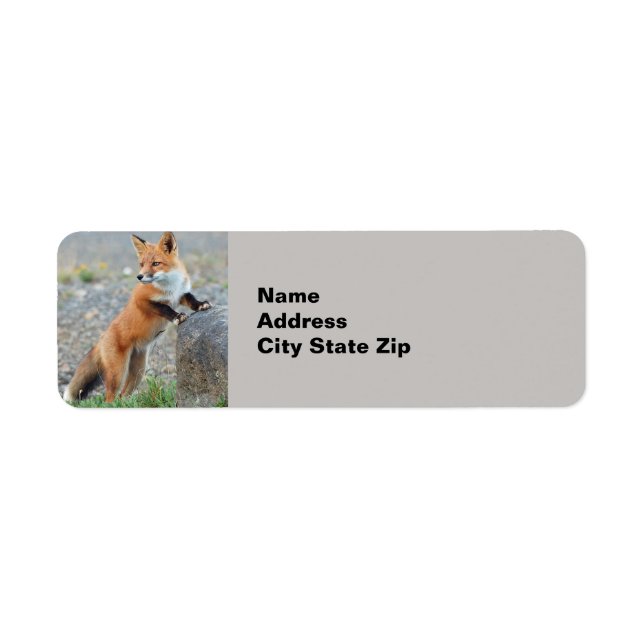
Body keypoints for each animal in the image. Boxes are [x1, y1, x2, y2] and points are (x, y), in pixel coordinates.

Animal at [63, 231, 211, 404]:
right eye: (141, 264)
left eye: (155, 263)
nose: (139, 277)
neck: (170, 287)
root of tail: (102, 337)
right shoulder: (140, 299)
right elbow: (164, 308)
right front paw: (177, 317)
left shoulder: (180, 294)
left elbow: (191, 299)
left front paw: (201, 305)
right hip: (118, 373)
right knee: (110, 397)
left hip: (138, 372)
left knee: (123, 395)